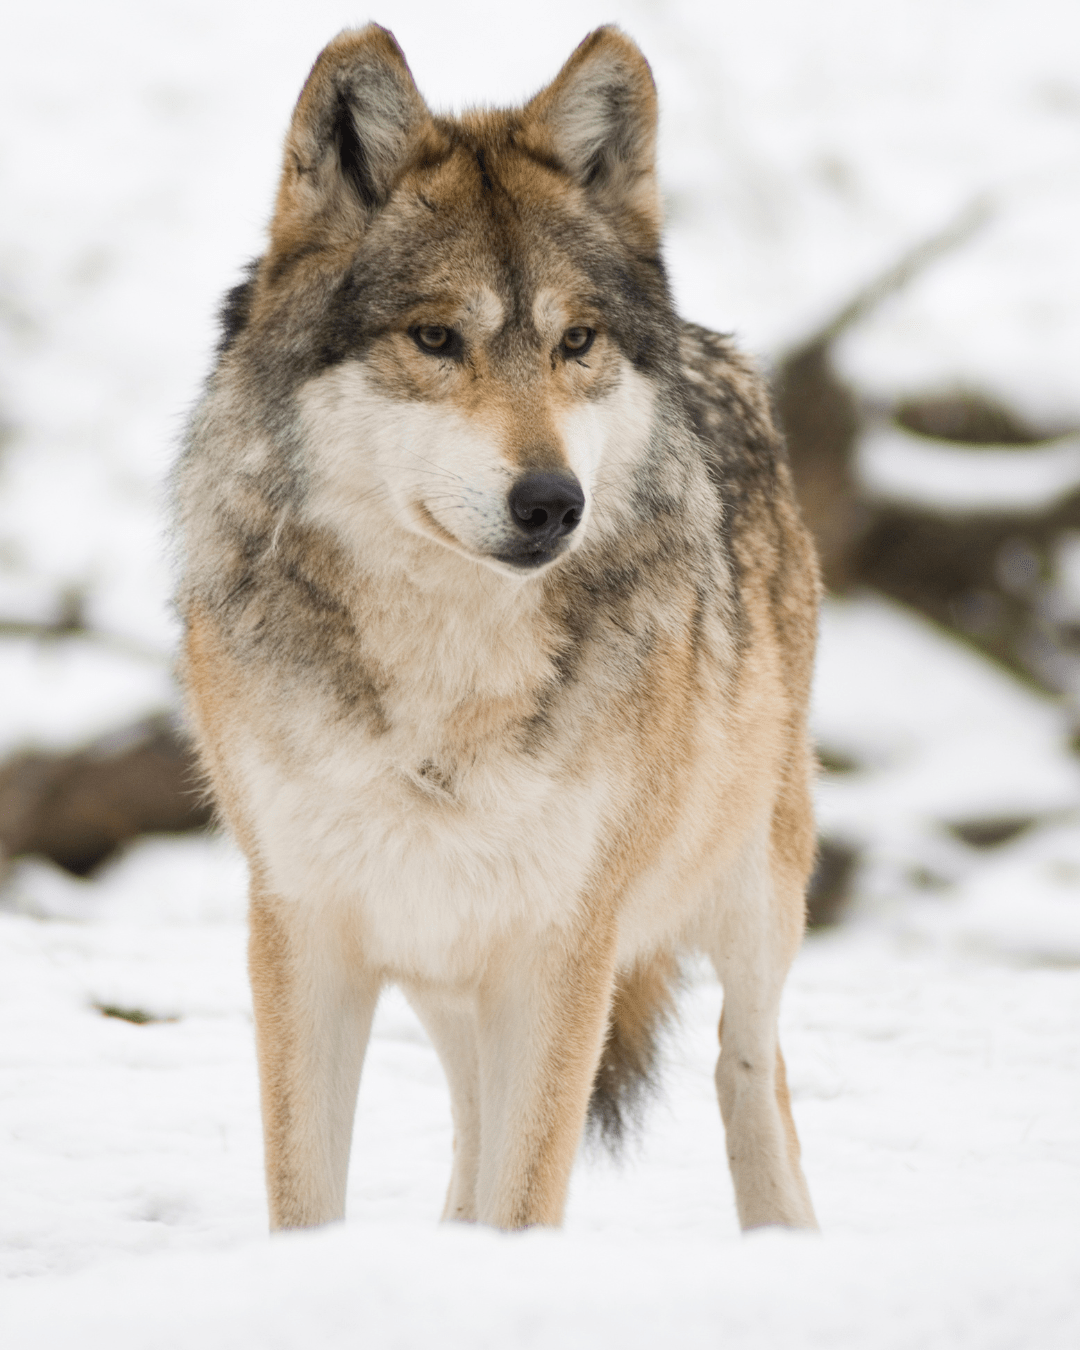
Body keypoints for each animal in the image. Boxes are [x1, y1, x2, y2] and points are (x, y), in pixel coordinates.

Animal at [173, 23, 820, 1234]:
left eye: (576, 341)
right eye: (436, 338)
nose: (552, 503)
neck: (446, 679)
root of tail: (718, 348)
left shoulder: (564, 945)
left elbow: (530, 1195)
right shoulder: (305, 930)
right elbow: (308, 1195)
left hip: (753, 882)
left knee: (749, 1067)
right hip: (445, 962)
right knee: (474, 1119)